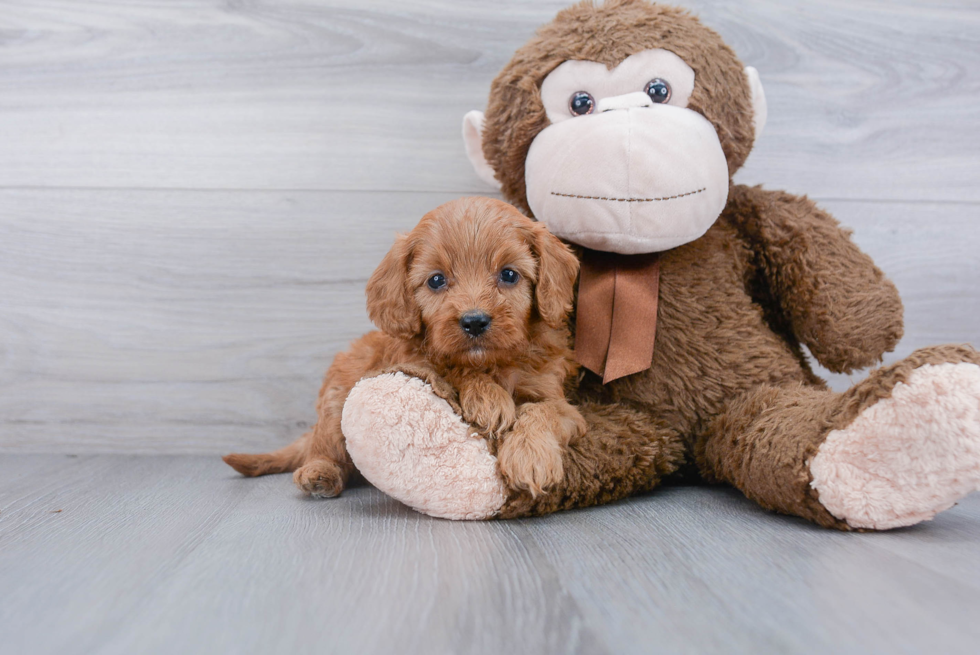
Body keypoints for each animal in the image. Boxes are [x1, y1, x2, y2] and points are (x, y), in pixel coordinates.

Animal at [226, 197, 584, 500]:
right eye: (436, 280)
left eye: (509, 274)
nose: (474, 322)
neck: (492, 364)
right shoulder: (414, 361)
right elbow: (449, 367)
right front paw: (487, 398)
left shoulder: (562, 404)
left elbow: (540, 411)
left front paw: (530, 456)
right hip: (335, 402)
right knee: (327, 447)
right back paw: (319, 473)